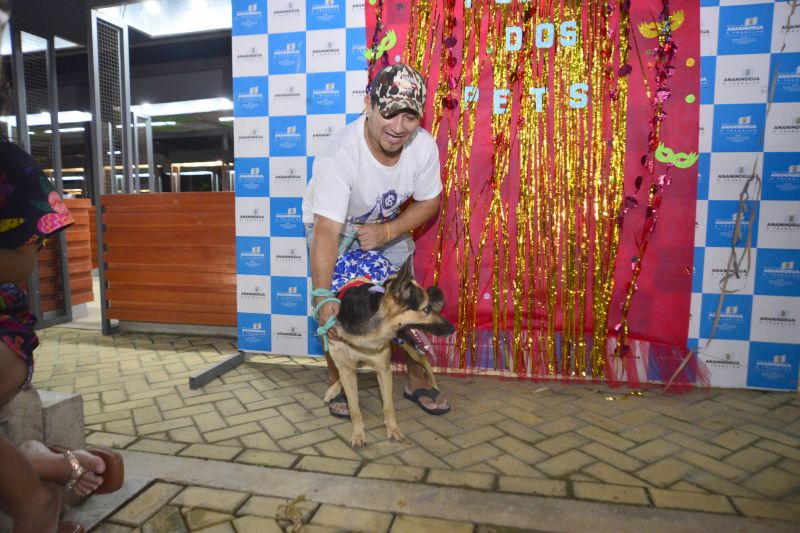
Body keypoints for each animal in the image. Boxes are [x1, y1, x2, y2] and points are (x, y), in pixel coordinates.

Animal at [324, 260, 454, 446]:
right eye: (427, 309)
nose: (452, 329)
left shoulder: (383, 369)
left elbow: (388, 406)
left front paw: (393, 430)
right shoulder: (346, 368)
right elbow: (354, 408)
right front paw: (358, 434)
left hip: (410, 348)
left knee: (424, 360)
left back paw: (433, 385)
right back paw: (333, 390)